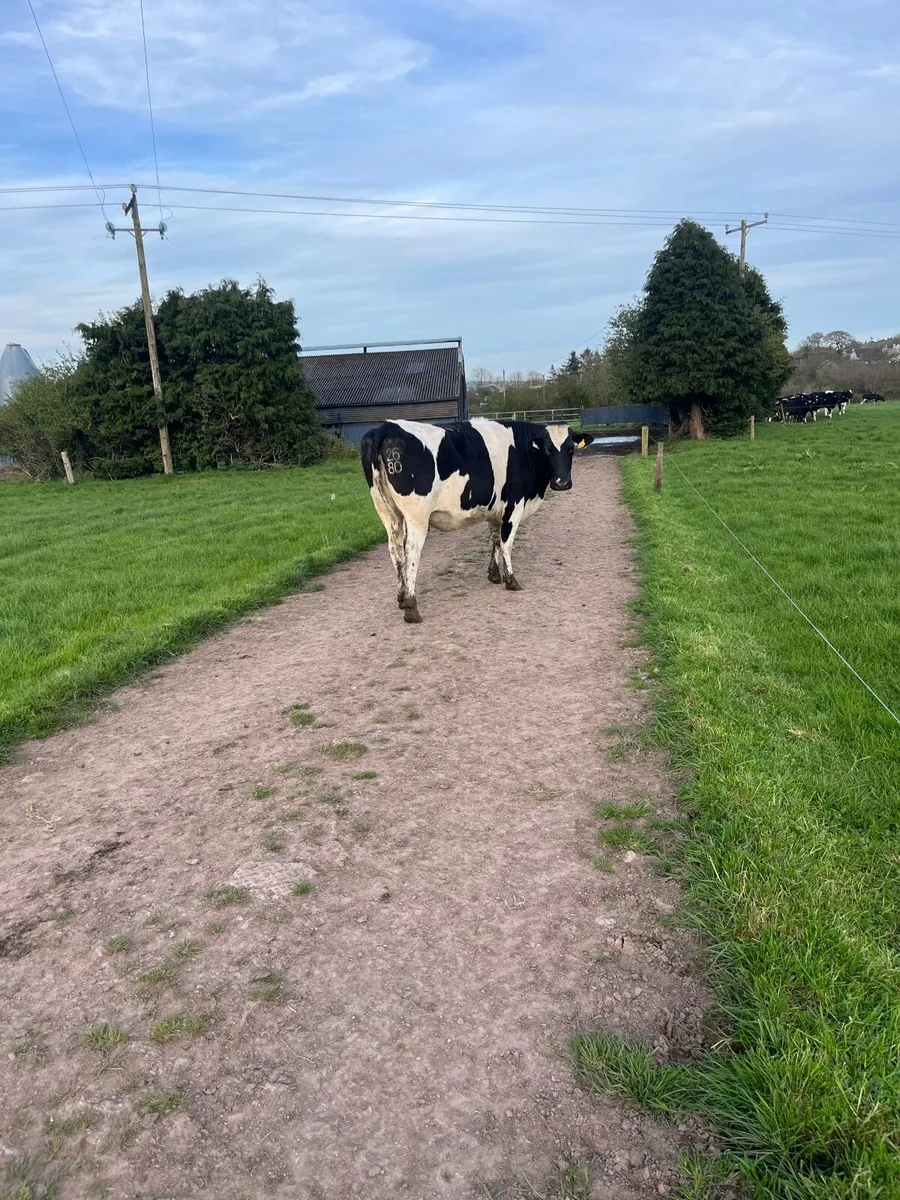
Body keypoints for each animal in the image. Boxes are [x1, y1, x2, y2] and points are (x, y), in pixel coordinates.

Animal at [360, 418, 595, 623]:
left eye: (571, 449)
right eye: (547, 449)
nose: (562, 482)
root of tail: (387, 426)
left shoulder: (496, 509)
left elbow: (495, 540)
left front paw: (495, 574)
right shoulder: (515, 504)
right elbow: (507, 543)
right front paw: (511, 580)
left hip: (387, 512)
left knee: (396, 551)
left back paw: (401, 597)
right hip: (416, 515)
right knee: (411, 553)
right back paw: (411, 606)